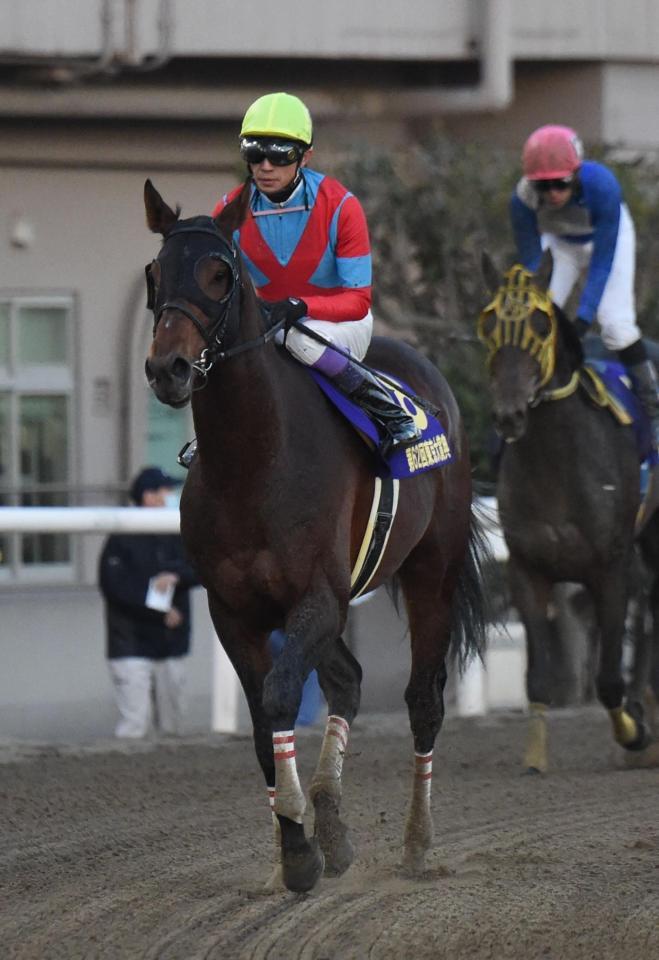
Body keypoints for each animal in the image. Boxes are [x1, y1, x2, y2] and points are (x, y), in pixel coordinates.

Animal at [142, 180, 488, 892]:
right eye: (155, 273)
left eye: (220, 274)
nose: (170, 368)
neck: (254, 462)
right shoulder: (235, 610)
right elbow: (260, 722)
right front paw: (300, 842)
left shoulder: (318, 598)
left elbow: (279, 697)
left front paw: (299, 843)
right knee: (349, 679)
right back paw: (331, 819)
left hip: (430, 571)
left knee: (423, 699)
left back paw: (417, 844)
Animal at [476, 253, 652, 772]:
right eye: (488, 324)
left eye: (540, 323)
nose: (509, 415)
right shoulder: (526, 569)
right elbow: (537, 677)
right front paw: (535, 757)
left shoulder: (609, 568)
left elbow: (608, 678)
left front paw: (634, 733)